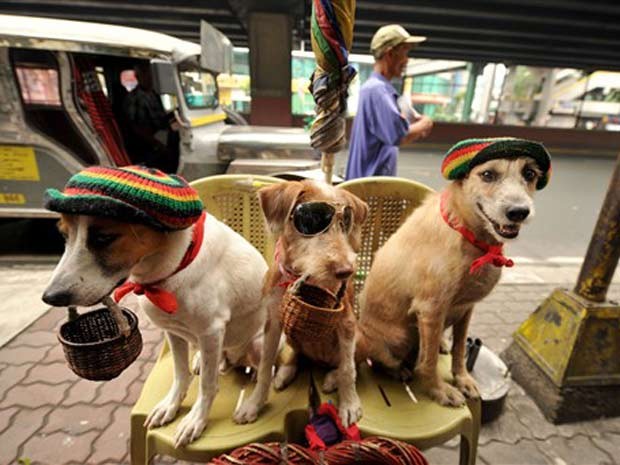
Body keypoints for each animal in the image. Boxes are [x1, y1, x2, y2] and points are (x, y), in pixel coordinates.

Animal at [234, 179, 368, 426]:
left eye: (346, 221)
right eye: (311, 220)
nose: (346, 271)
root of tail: (320, 360)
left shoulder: (346, 322)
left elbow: (348, 369)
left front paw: (349, 405)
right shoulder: (273, 321)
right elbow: (265, 366)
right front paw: (254, 404)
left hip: (360, 337)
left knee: (347, 363)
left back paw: (332, 378)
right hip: (291, 334)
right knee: (298, 355)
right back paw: (285, 373)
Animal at [356, 138, 548, 406]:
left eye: (529, 174)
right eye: (487, 174)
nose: (519, 212)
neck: (468, 234)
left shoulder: (466, 308)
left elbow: (459, 349)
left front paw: (463, 378)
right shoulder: (431, 309)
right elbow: (427, 363)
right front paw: (438, 390)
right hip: (399, 336)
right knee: (384, 361)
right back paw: (398, 369)